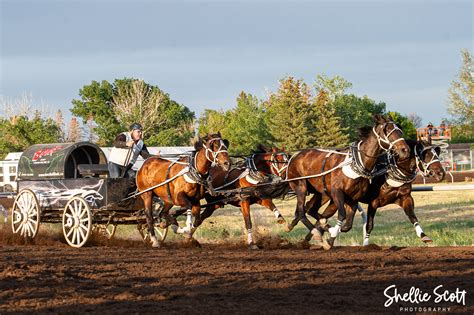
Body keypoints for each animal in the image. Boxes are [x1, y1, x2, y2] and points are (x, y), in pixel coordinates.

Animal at [284, 114, 410, 249]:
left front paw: (330, 233)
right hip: (301, 186)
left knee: (309, 209)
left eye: (400, 130)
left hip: (321, 193)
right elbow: (342, 215)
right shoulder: (337, 192)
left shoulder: (353, 198)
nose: (405, 150)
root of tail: (294, 156)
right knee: (302, 212)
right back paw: (316, 232)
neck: (356, 163)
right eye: (388, 131)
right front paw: (329, 236)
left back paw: (297, 226)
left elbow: (347, 225)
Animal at [306, 139, 446, 246]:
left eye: (437, 153)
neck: (388, 172)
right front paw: (366, 244)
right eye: (425, 155)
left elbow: (412, 217)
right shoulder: (373, 203)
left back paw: (312, 237)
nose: (441, 173)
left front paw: (423, 235)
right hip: (327, 195)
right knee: (312, 210)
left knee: (317, 213)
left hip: (334, 200)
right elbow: (368, 225)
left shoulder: (405, 198)